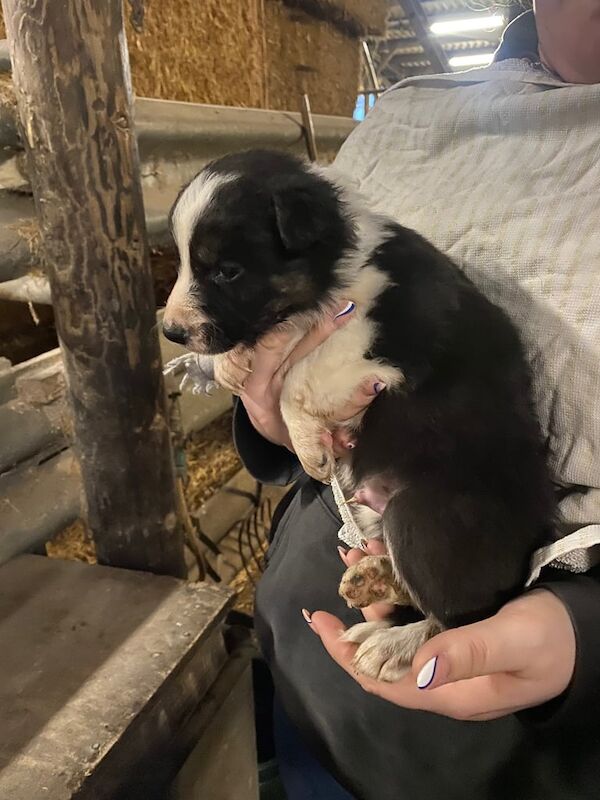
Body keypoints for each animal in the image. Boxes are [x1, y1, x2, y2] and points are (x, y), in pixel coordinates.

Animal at [162, 152, 556, 680]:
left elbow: (295, 379)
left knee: (459, 618)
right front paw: (226, 365)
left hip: (421, 515)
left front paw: (308, 447)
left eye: (227, 271)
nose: (171, 331)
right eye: (185, 262)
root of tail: (537, 541)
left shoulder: (379, 346)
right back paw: (373, 580)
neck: (333, 269)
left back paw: (393, 643)